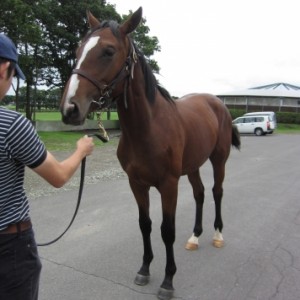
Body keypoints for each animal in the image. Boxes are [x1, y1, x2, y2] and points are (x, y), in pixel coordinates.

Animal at [59, 7, 240, 300]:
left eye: (108, 51)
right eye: (77, 50)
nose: (69, 109)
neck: (149, 128)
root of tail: (217, 103)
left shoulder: (168, 185)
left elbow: (167, 230)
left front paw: (168, 280)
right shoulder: (137, 184)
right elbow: (145, 224)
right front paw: (144, 269)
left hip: (218, 159)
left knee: (216, 192)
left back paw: (217, 235)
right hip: (192, 166)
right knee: (200, 194)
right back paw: (195, 237)